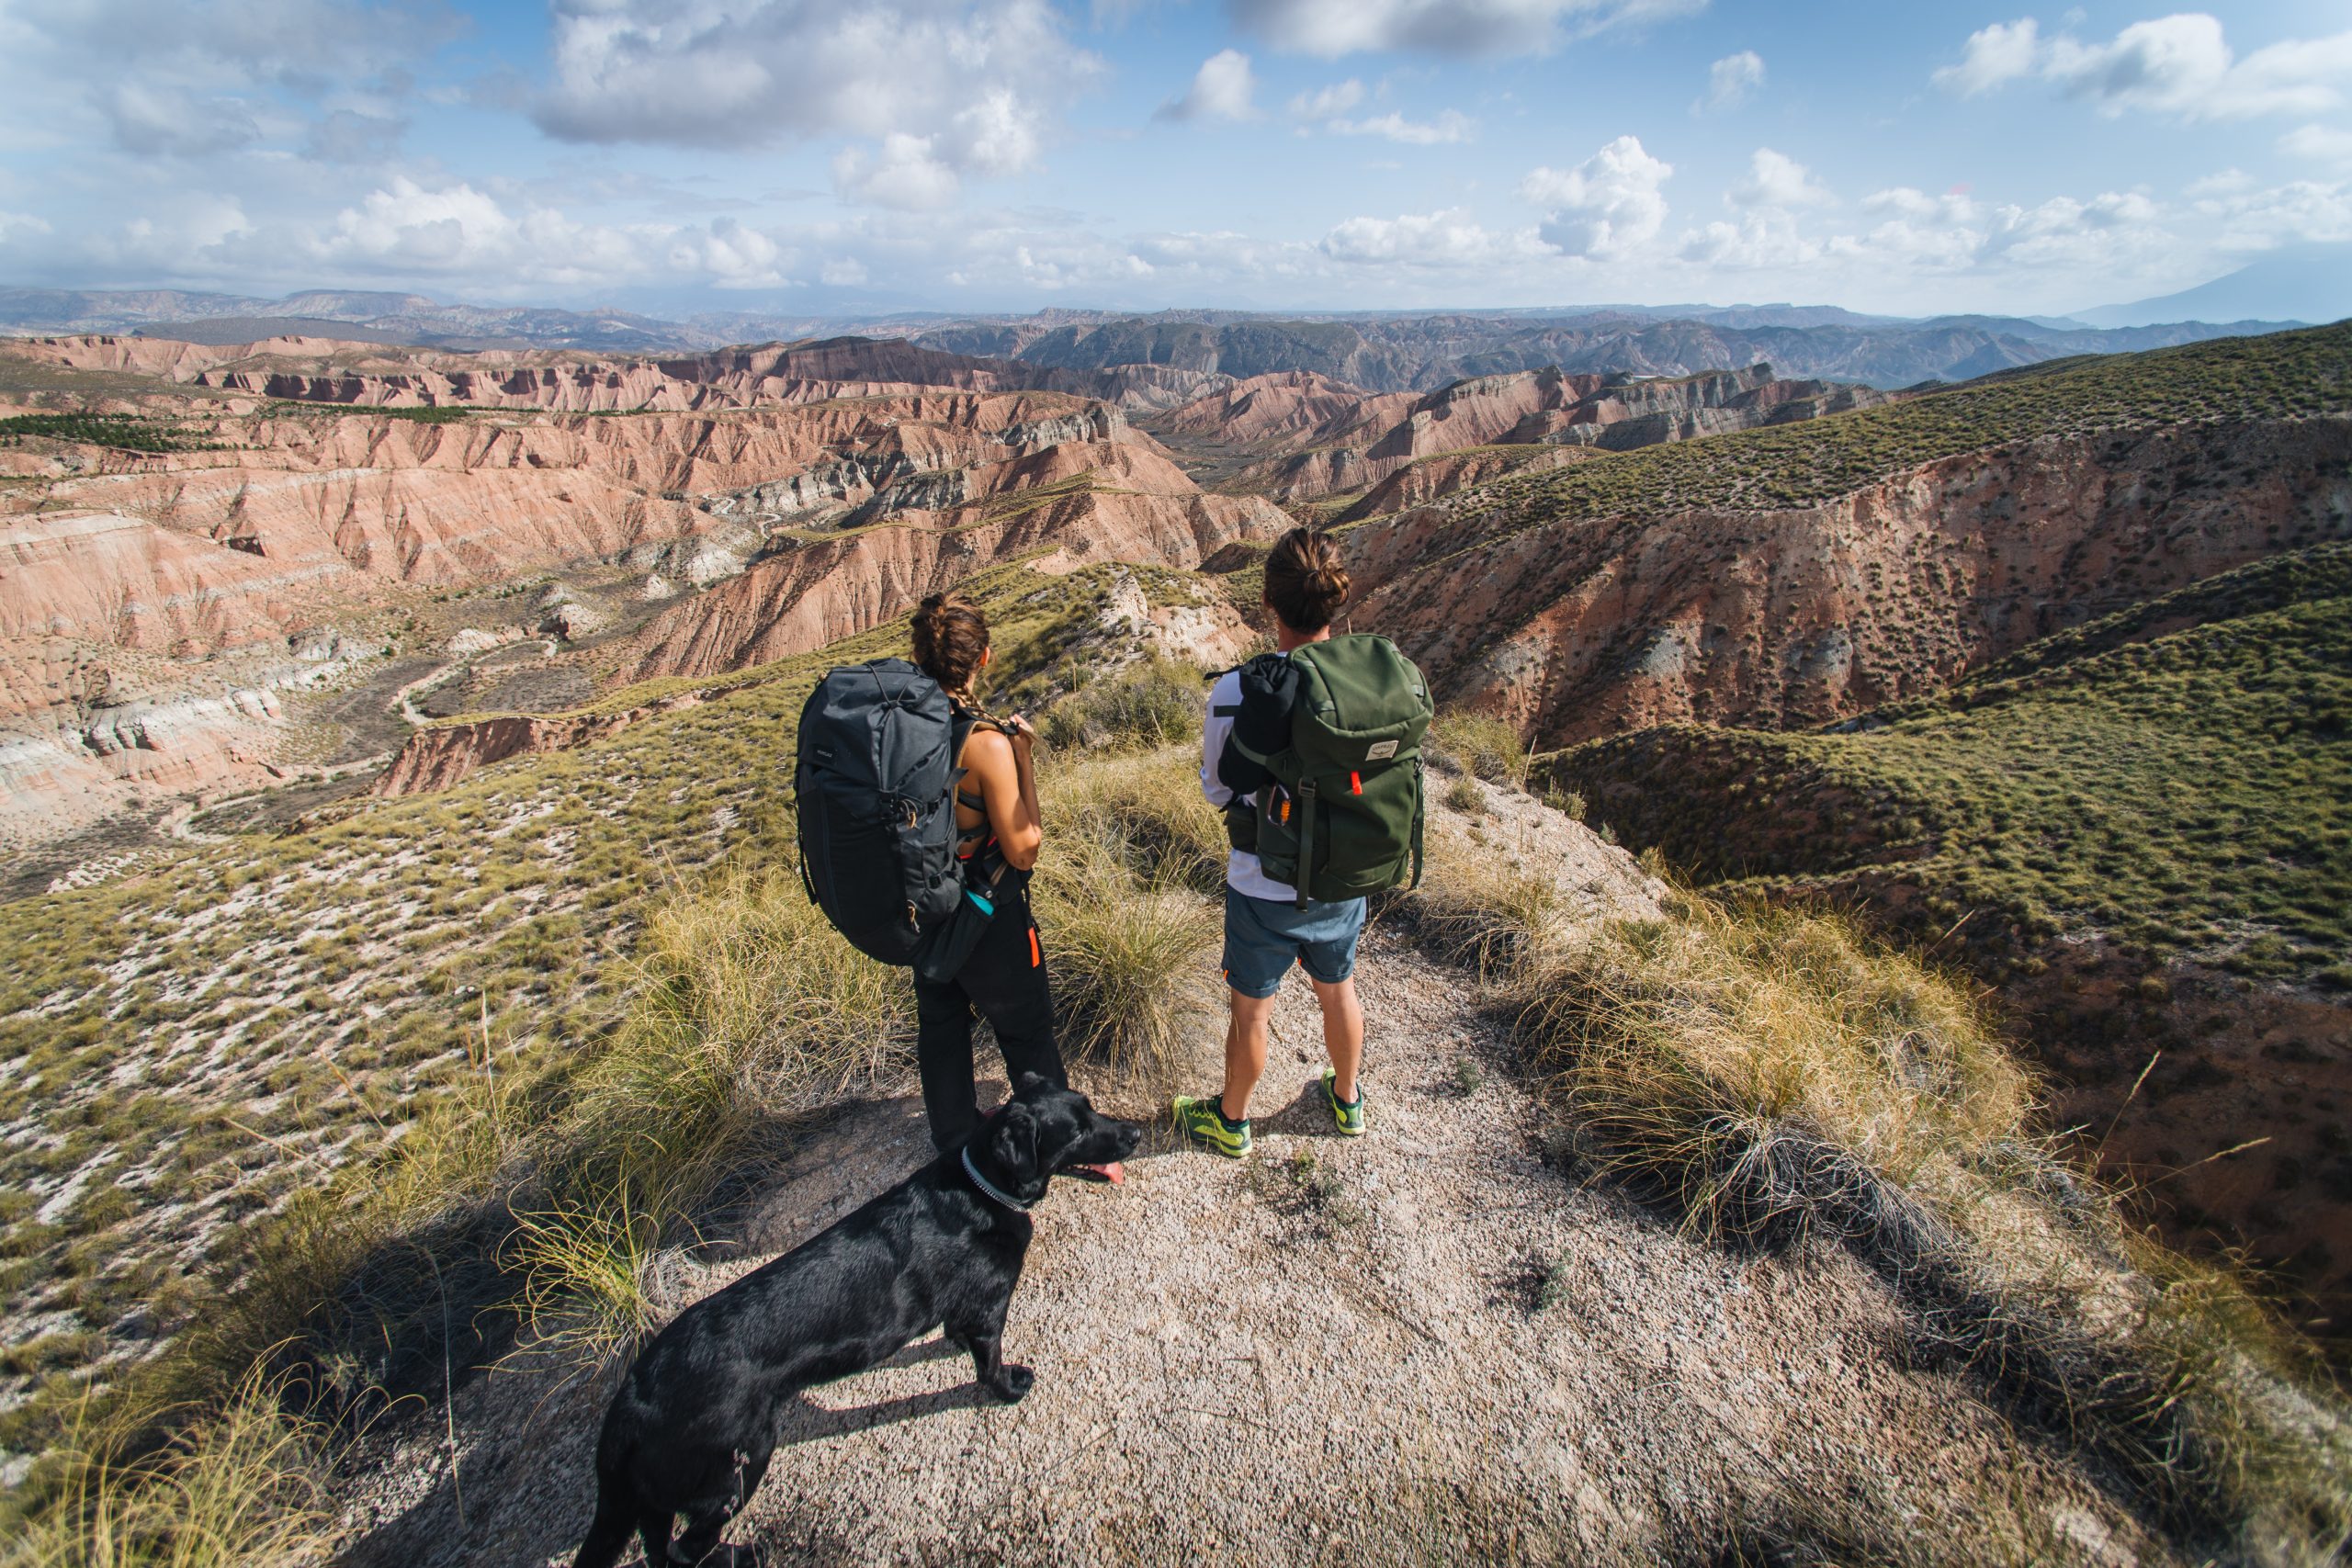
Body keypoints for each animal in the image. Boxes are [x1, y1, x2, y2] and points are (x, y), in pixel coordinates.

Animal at [569, 1081, 1138, 1568]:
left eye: (1090, 1108)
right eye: (1077, 1132)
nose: (1133, 1133)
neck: (983, 1189)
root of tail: (631, 1402)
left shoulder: (963, 1308)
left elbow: (956, 1332)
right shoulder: (989, 1308)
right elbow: (990, 1364)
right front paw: (1009, 1387)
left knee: (662, 1550)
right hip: (738, 1465)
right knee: (688, 1547)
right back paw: (739, 1554)